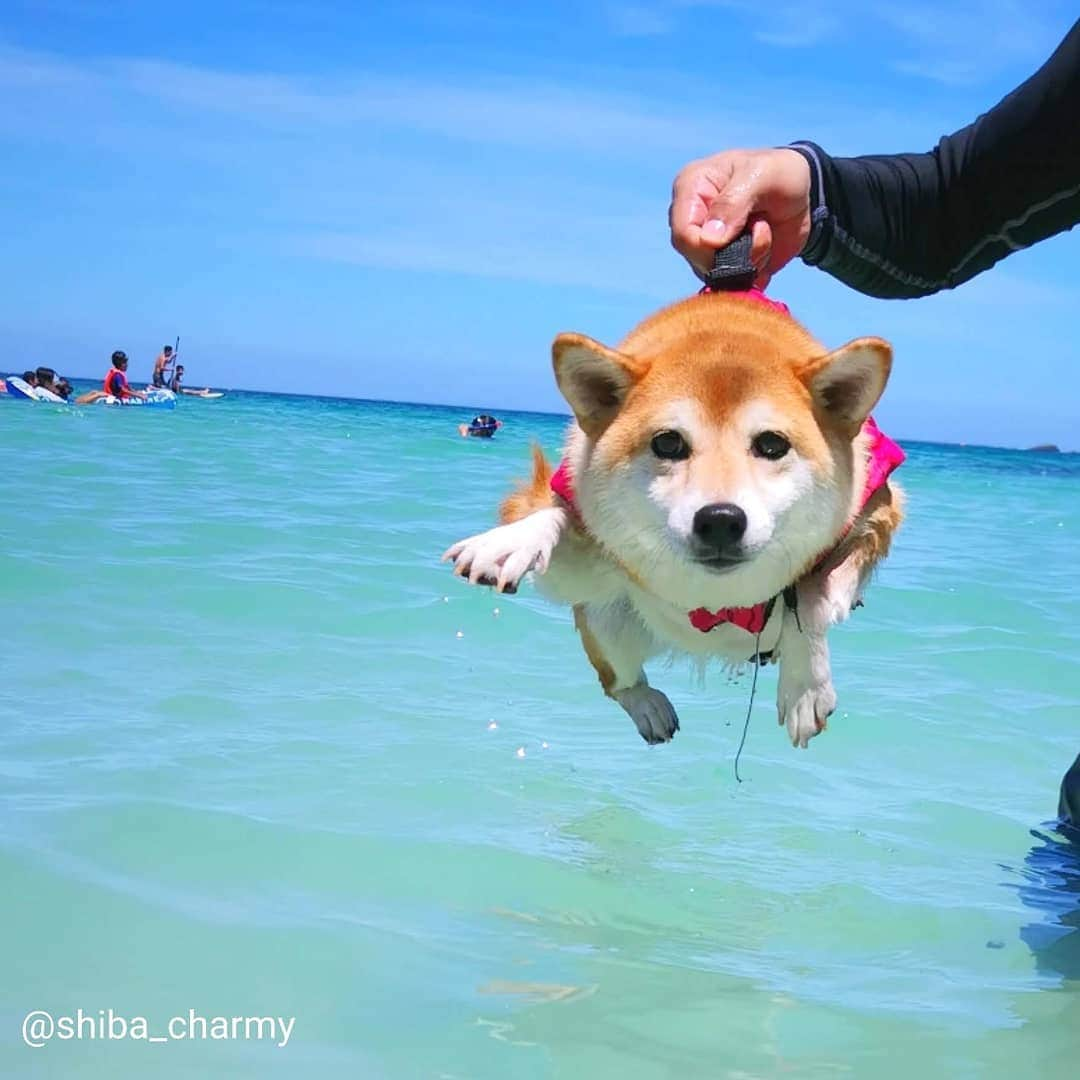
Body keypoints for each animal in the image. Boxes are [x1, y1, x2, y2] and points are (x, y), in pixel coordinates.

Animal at [438, 289, 902, 751]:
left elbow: (809, 599)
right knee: (618, 681)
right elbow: (554, 514)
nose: (720, 519)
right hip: (606, 618)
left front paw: (805, 689)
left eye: (772, 444)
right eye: (667, 443)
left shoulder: (879, 507)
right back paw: (649, 707)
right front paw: (508, 543)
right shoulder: (585, 548)